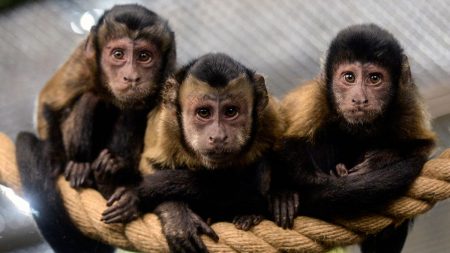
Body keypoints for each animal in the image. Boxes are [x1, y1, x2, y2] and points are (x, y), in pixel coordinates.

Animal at [14, 4, 176, 253]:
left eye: (144, 56)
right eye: (118, 54)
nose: (131, 77)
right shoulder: (83, 60)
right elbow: (48, 102)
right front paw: (54, 158)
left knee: (132, 111)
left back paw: (111, 174)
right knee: (91, 99)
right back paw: (81, 167)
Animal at [100, 52, 286, 252]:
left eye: (230, 111)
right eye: (204, 112)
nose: (218, 136)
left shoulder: (270, 116)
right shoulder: (167, 124)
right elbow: (152, 165)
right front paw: (177, 216)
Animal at [270, 22, 436, 252]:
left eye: (375, 78)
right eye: (349, 77)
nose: (359, 99)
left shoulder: (407, 103)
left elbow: (423, 147)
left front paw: (380, 160)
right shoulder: (315, 97)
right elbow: (285, 143)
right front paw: (297, 191)